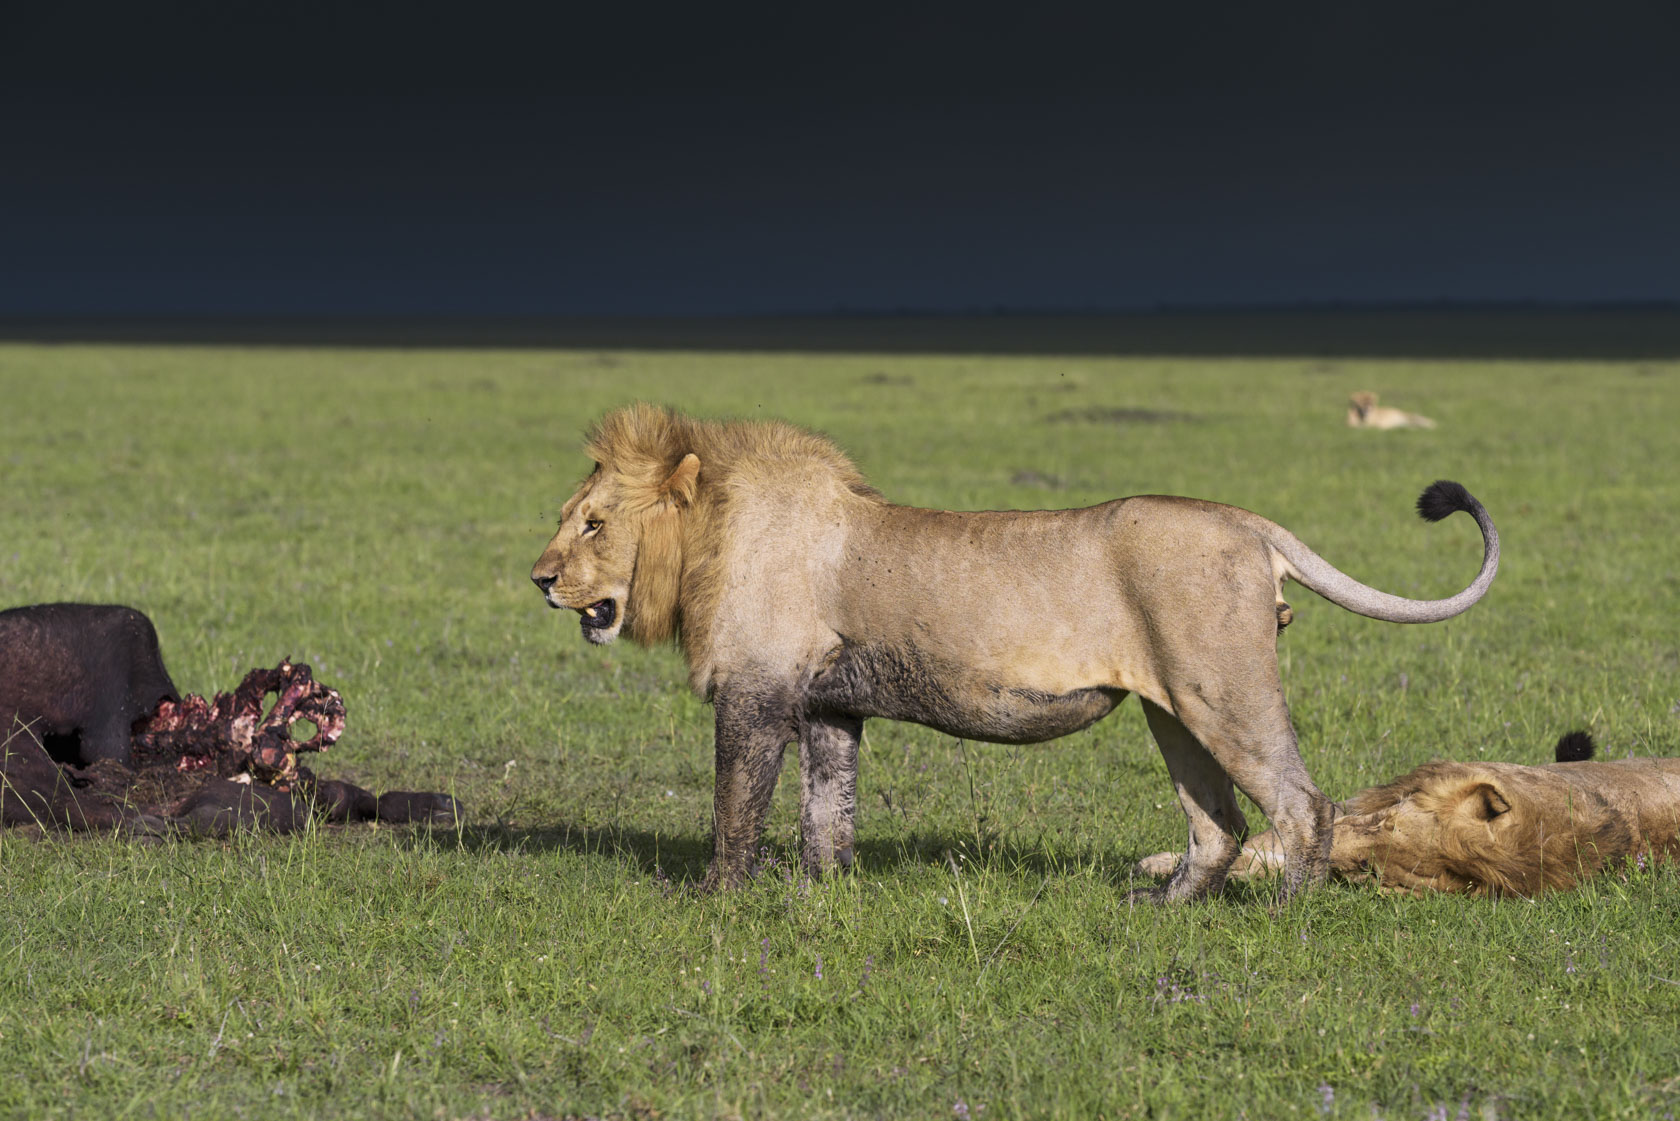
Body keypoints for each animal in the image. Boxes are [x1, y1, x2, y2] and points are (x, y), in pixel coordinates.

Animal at [524, 403, 1498, 900]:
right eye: (569, 517)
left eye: (594, 523)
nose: (538, 578)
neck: (706, 539)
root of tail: (1243, 520)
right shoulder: (830, 704)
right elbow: (825, 813)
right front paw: (826, 898)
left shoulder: (757, 693)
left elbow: (736, 806)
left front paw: (716, 902)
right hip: (1173, 707)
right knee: (1217, 822)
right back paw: (1165, 908)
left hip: (1223, 689)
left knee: (1302, 804)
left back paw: (1287, 913)